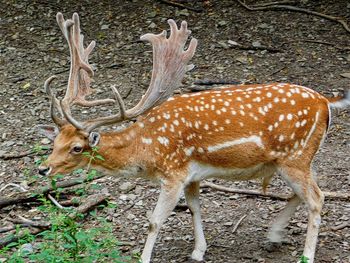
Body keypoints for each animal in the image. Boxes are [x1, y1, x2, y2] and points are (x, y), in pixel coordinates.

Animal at [37, 11, 348, 263]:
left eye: (77, 147)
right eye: (55, 142)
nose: (43, 168)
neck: (146, 150)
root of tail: (325, 101)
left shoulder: (173, 173)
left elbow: (154, 221)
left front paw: (145, 258)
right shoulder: (192, 176)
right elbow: (195, 209)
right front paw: (198, 251)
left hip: (294, 156)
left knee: (317, 198)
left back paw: (306, 255)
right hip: (298, 157)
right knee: (311, 190)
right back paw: (273, 236)